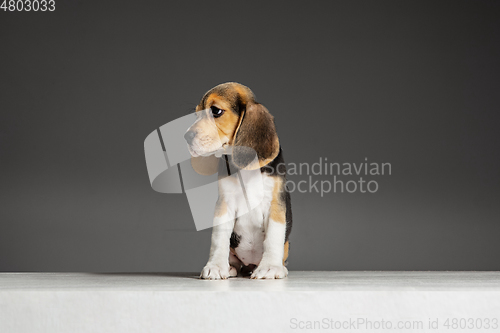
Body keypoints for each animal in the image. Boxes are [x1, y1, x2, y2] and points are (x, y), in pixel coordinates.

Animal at [186, 82, 292, 278]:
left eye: (216, 111)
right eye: (196, 114)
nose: (186, 137)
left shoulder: (275, 204)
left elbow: (274, 237)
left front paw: (270, 267)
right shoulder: (224, 204)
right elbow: (219, 238)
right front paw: (216, 266)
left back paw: (278, 267)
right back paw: (230, 266)